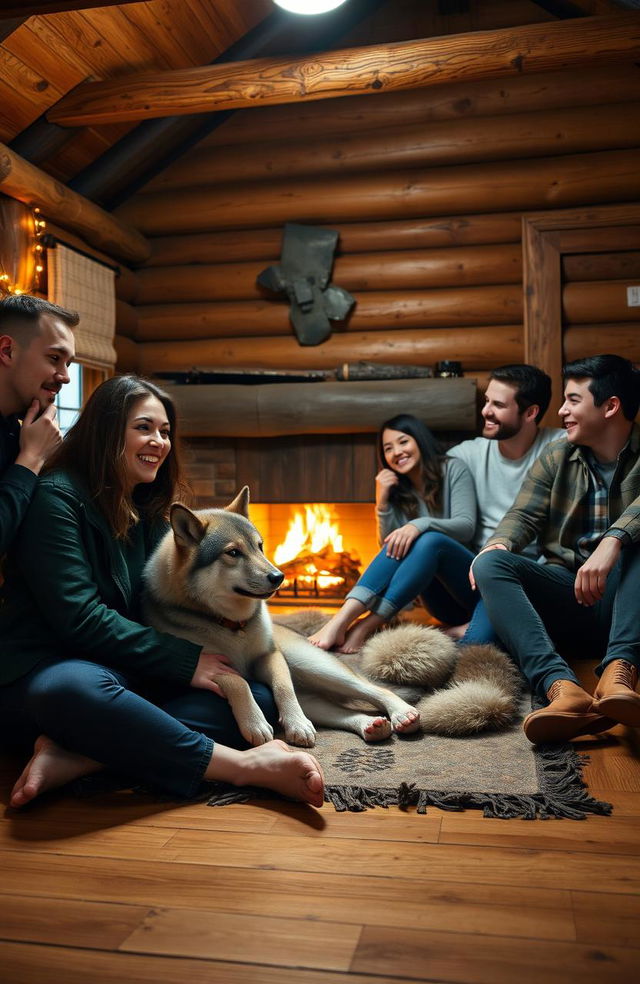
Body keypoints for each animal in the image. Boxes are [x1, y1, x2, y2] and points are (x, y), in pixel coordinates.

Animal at [143, 488, 422, 748]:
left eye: (260, 546)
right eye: (232, 553)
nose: (279, 577)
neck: (232, 626)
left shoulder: (270, 657)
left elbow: (283, 687)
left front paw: (296, 724)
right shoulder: (208, 664)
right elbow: (238, 681)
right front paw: (255, 722)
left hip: (313, 665)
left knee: (374, 689)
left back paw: (401, 713)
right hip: (313, 695)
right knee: (343, 712)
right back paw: (370, 725)